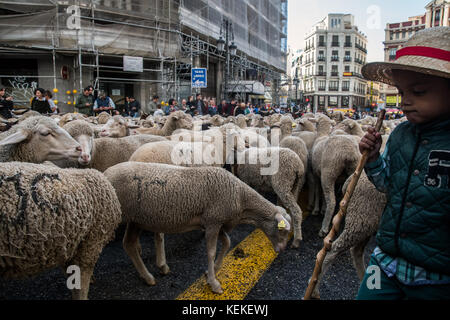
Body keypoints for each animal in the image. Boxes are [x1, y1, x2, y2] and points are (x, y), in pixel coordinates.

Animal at [103, 164, 292, 294]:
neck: (241, 198)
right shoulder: (213, 222)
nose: (282, 250)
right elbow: (211, 251)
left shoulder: (215, 222)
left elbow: (227, 243)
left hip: (136, 220)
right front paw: (214, 283)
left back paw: (148, 277)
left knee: (129, 244)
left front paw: (212, 271)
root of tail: (105, 173)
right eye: (282, 230)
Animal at [310, 172, 386, 300]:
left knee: (356, 251)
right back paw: (314, 289)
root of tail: (350, 180)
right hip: (363, 217)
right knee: (333, 250)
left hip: (367, 222)